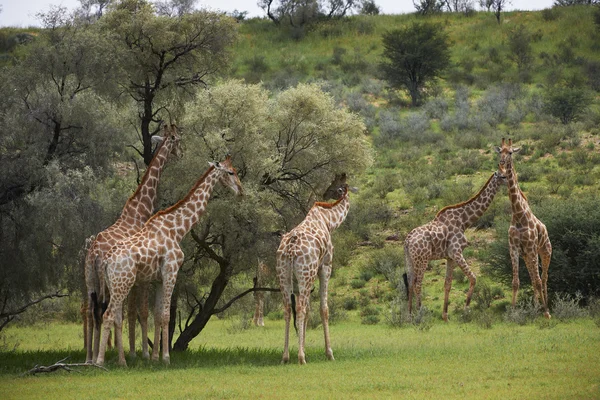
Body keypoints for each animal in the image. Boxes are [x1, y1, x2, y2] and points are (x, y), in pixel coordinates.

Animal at [82, 124, 180, 362]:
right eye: (178, 140)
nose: (181, 154)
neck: (139, 210)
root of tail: (94, 252)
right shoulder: (141, 279)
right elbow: (139, 311)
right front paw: (142, 353)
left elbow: (130, 312)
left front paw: (136, 352)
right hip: (108, 281)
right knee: (106, 311)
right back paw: (108, 358)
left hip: (90, 279)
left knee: (91, 311)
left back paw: (90, 357)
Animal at [96, 156, 244, 366]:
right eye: (231, 172)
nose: (241, 191)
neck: (178, 229)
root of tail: (106, 261)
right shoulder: (171, 272)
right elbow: (166, 315)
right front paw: (166, 358)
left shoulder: (159, 278)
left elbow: (158, 316)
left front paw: (154, 358)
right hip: (123, 283)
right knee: (108, 315)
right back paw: (99, 362)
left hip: (115, 285)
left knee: (116, 317)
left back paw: (122, 361)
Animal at [276, 173, 354, 364]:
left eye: (332, 186)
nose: (325, 194)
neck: (329, 221)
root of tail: (290, 249)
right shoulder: (325, 266)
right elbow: (323, 309)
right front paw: (329, 353)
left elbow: (309, 310)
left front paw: (303, 347)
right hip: (306, 272)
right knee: (300, 308)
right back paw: (301, 358)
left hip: (284, 274)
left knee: (288, 308)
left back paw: (285, 357)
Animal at [404, 170, 506, 322]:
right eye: (503, 175)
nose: (512, 181)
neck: (464, 221)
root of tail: (407, 241)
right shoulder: (457, 252)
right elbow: (473, 278)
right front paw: (466, 310)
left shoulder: (450, 257)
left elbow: (448, 284)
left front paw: (445, 316)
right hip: (422, 259)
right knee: (417, 283)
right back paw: (421, 314)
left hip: (410, 259)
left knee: (410, 283)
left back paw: (409, 315)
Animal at [494, 138, 552, 318]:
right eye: (500, 151)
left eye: (511, 152)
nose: (502, 162)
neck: (519, 215)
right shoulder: (513, 248)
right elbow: (515, 282)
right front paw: (513, 312)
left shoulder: (531, 247)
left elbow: (538, 281)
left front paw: (546, 313)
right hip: (527, 256)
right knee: (534, 278)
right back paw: (535, 307)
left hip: (544, 252)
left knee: (543, 278)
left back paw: (545, 308)